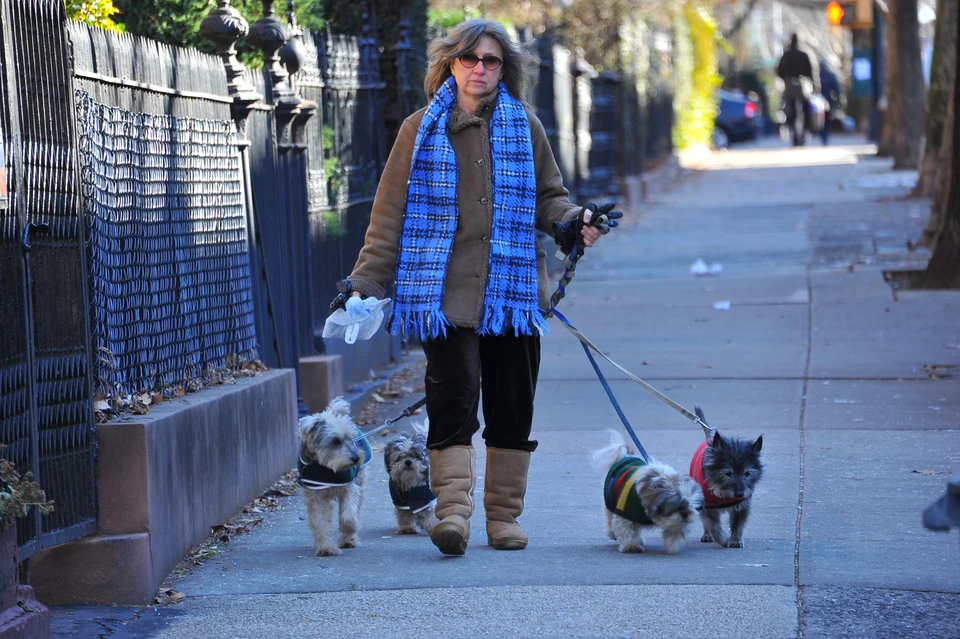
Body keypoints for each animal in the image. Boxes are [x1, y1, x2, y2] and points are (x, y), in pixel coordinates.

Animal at [296, 398, 372, 556]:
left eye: (350, 438)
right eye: (335, 441)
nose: (356, 458)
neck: (324, 466)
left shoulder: (349, 489)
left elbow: (348, 515)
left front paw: (351, 528)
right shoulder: (315, 497)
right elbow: (319, 521)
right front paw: (326, 547)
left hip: (360, 482)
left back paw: (349, 539)